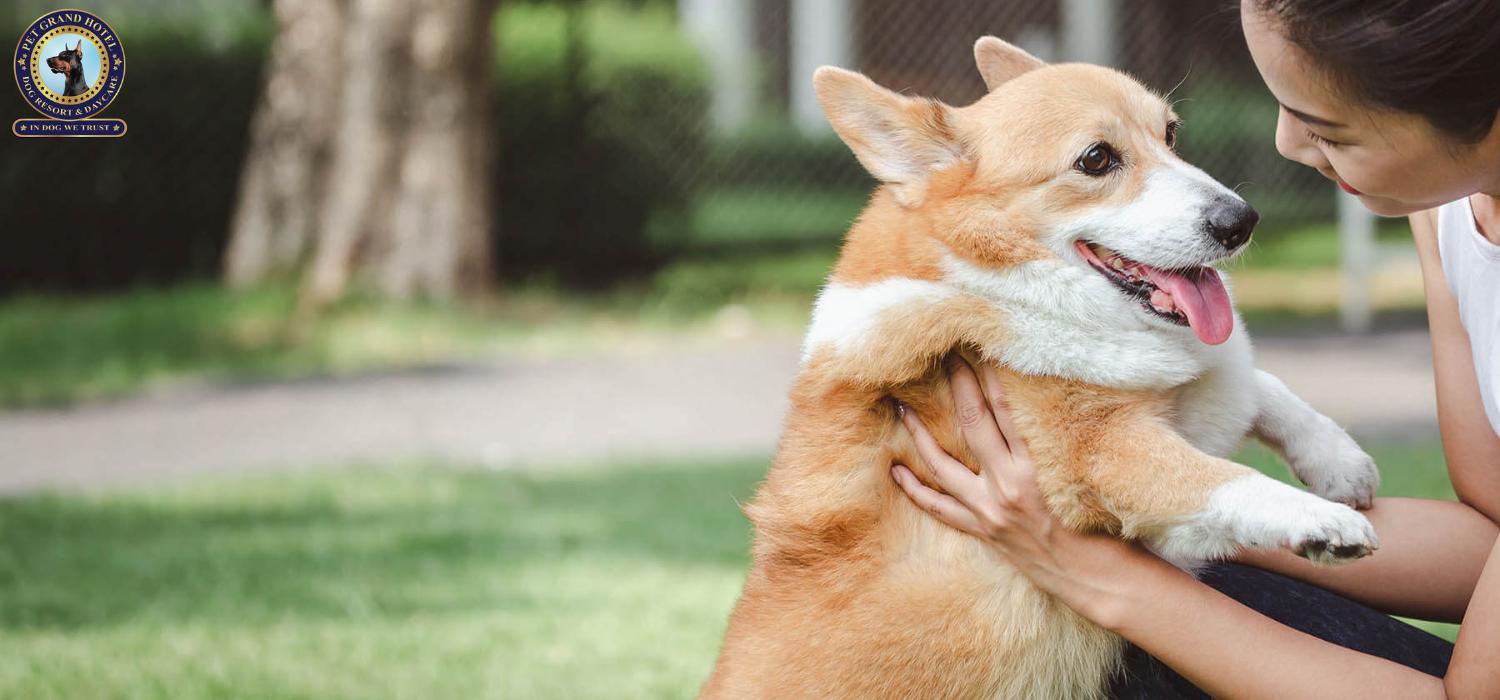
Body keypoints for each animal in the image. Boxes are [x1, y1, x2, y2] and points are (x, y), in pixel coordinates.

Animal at [702, 38, 1380, 700]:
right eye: (1097, 160)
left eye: (1171, 133)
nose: (1241, 221)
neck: (1005, 285)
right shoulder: (1101, 454)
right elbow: (1221, 478)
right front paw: (1321, 521)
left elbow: (1260, 384)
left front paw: (1337, 461)